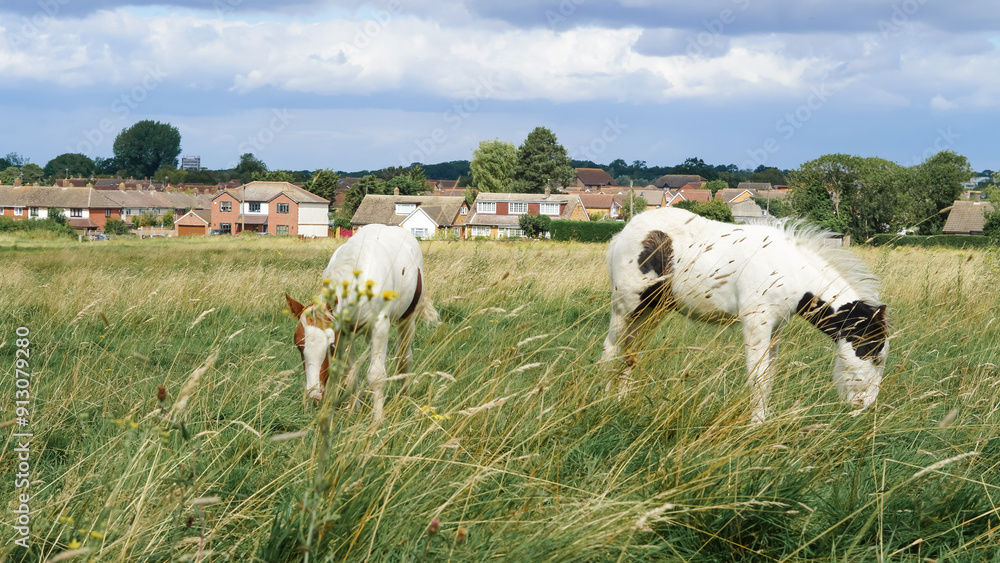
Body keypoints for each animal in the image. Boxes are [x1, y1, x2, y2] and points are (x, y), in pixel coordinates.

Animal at [285, 224, 439, 421]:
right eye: (298, 345)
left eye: (331, 346)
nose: (315, 395)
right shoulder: (345, 331)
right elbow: (350, 374)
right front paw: (353, 410)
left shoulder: (380, 326)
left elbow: (376, 375)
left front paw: (377, 419)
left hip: (407, 319)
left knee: (404, 357)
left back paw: (404, 397)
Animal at [600, 207, 889, 423]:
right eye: (874, 353)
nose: (865, 405)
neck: (788, 270)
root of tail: (623, 233)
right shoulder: (756, 322)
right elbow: (757, 376)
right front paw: (756, 424)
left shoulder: (776, 328)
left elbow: (769, 376)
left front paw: (764, 420)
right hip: (626, 306)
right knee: (612, 347)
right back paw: (602, 400)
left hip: (652, 310)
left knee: (632, 351)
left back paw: (622, 400)